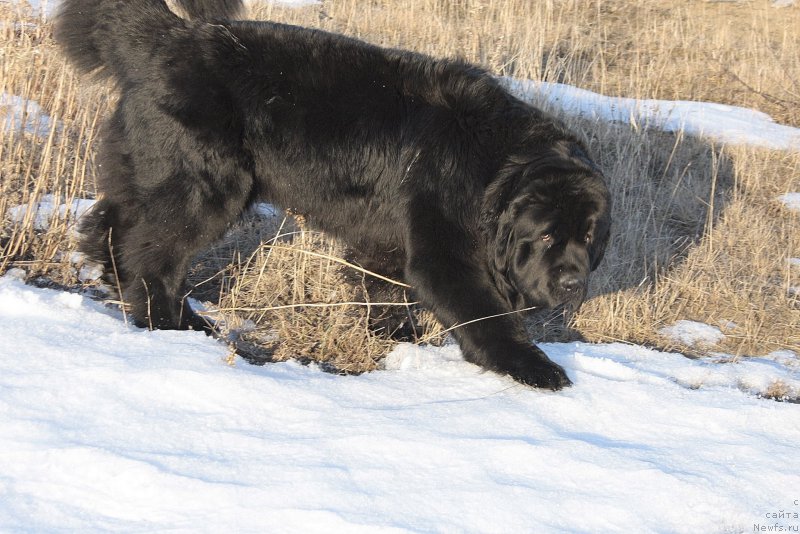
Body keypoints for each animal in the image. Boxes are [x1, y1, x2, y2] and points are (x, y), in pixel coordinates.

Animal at [54, 0, 612, 392]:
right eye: (545, 237)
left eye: (588, 238)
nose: (572, 283)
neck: (491, 164)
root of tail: (169, 38)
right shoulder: (445, 249)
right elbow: (485, 313)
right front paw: (534, 369)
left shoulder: (389, 238)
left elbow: (384, 287)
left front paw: (396, 337)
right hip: (205, 188)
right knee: (155, 254)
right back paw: (173, 324)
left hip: (148, 172)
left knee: (115, 224)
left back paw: (118, 283)